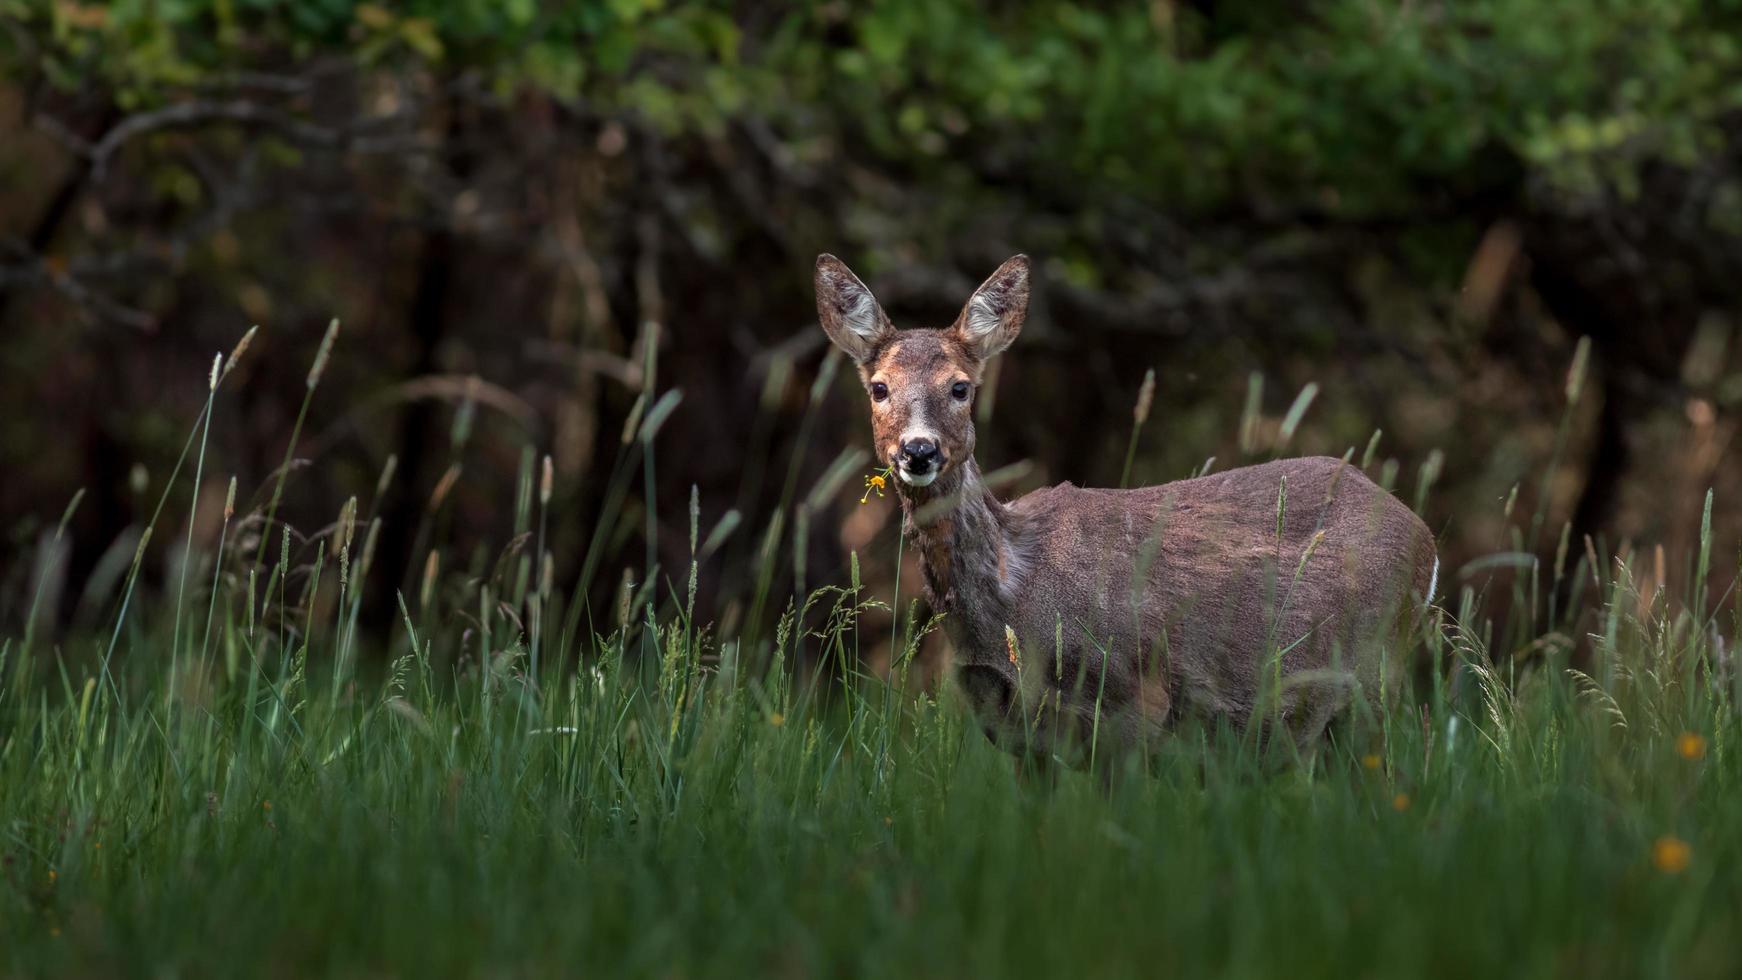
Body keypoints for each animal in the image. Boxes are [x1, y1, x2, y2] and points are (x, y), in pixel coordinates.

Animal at [815, 252, 1442, 765]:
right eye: (879, 387)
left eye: (961, 387)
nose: (918, 451)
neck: (1014, 592)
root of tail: (1424, 536)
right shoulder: (1007, 722)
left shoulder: (1137, 696)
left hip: (1375, 673)